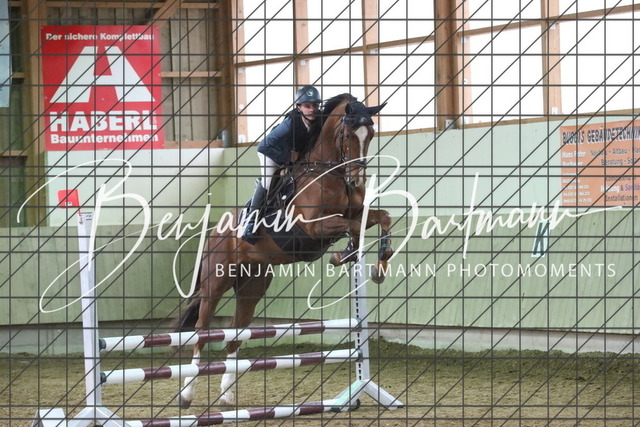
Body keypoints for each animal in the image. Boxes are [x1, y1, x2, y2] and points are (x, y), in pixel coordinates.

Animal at [175, 93, 394, 408]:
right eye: (348, 133)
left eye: (371, 134)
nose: (357, 181)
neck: (329, 173)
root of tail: (216, 230)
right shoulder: (314, 227)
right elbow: (353, 227)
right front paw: (344, 254)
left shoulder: (356, 212)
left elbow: (379, 218)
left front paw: (375, 261)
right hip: (216, 281)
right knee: (202, 331)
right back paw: (186, 394)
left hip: (252, 284)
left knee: (236, 333)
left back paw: (227, 394)